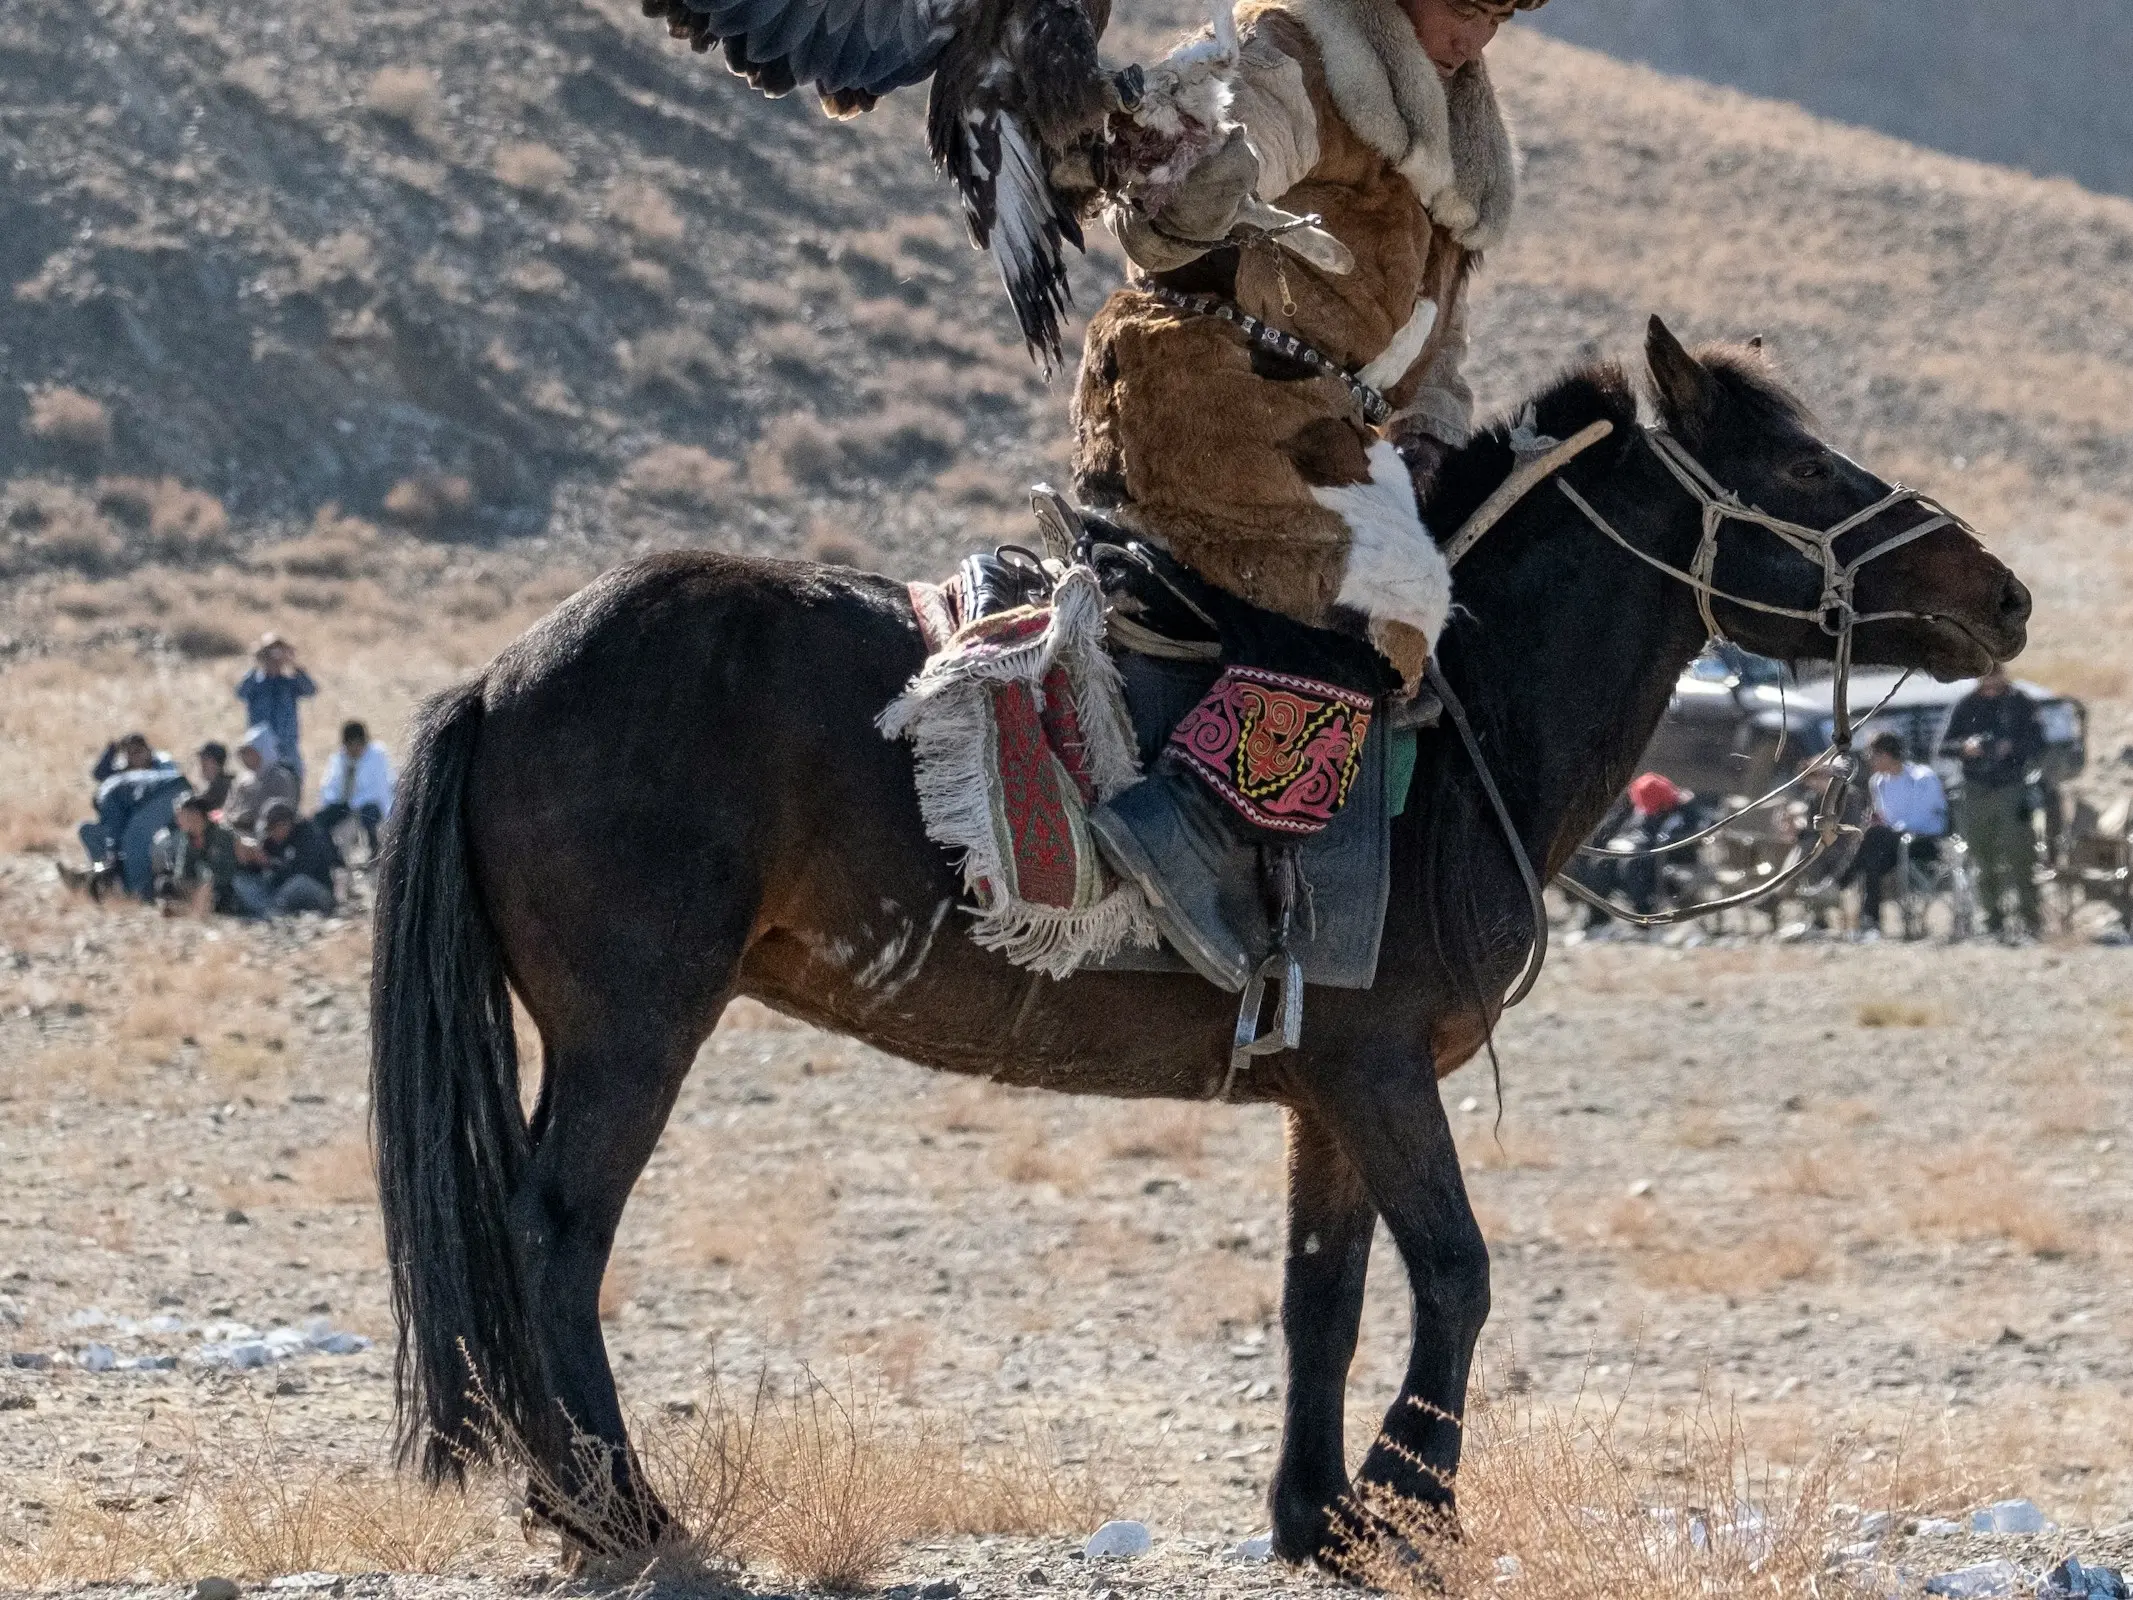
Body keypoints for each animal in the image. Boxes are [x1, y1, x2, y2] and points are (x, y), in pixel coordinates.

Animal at [371, 320, 2030, 1570]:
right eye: (1803, 467)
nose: (2001, 595)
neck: (1462, 717)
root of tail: (501, 676)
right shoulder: (1382, 1073)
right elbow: (1457, 1271)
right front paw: (1411, 1504)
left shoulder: (1327, 1083)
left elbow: (1323, 1294)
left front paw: (1319, 1515)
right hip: (635, 1027)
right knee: (555, 1234)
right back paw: (614, 1510)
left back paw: (566, 1495)